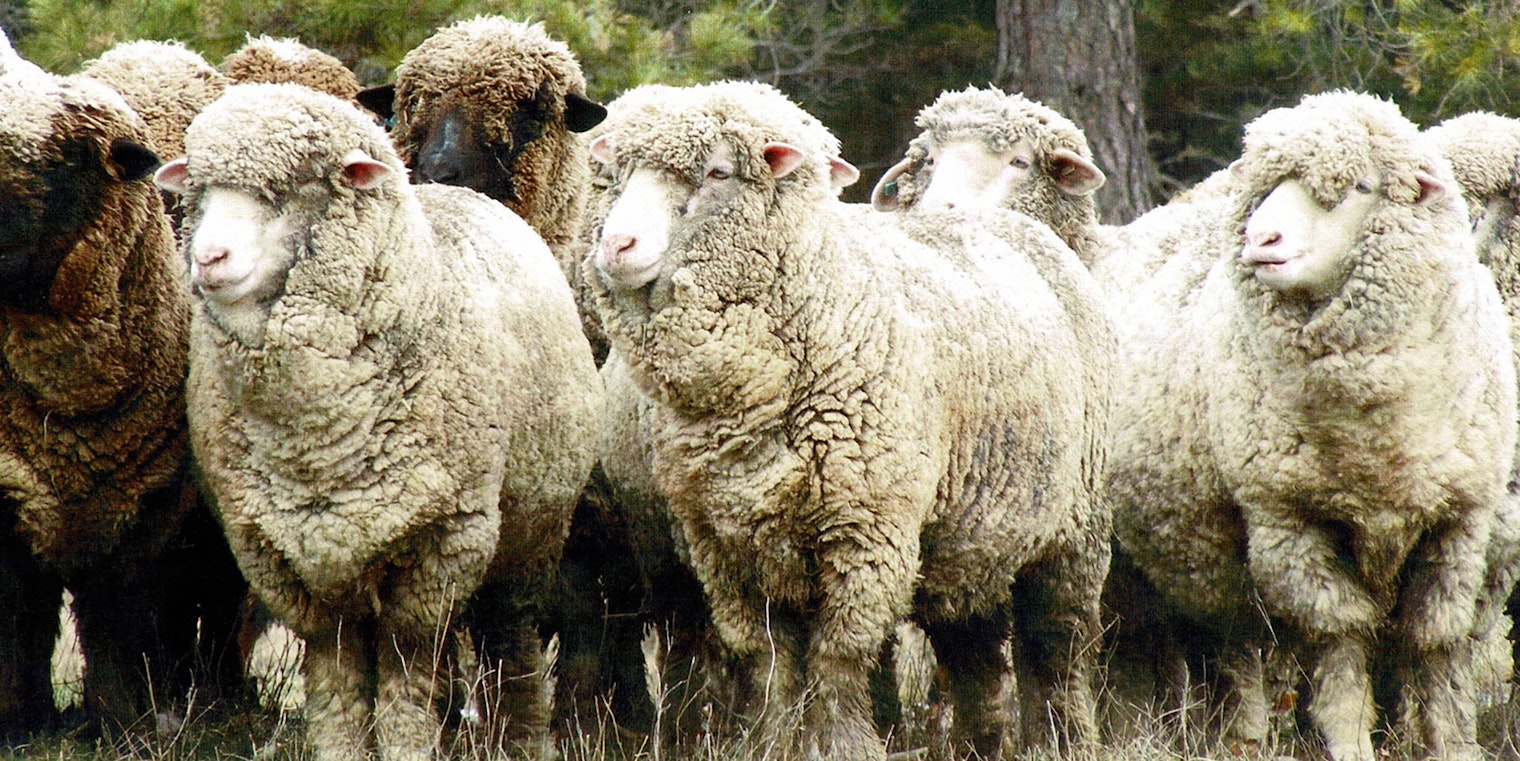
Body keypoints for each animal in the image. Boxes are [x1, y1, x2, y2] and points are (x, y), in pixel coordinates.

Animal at [0, 68, 245, 738]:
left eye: (65, 159)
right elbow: (19, 625)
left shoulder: (143, 513)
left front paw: (117, 722)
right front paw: (19, 723)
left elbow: (114, 625)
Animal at [153, 82, 602, 760]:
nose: (209, 258)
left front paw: (410, 745)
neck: (316, 439)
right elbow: (337, 678)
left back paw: (523, 737)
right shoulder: (281, 554)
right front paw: (342, 747)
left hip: (528, 536)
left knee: (510, 640)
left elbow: (404, 673)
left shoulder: (441, 544)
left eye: (289, 188)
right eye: (199, 192)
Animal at [584, 79, 1115, 760]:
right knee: (973, 651)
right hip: (970, 534)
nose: (615, 247)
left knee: (1059, 645)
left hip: (1076, 522)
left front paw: (845, 744)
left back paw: (1064, 738)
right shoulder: (726, 548)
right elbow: (769, 663)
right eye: (618, 173)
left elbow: (840, 657)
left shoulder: (867, 532)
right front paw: (773, 743)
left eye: (718, 172)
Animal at [1107, 91, 1516, 760]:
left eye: (1359, 186)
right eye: (1269, 187)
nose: (1261, 238)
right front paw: (1349, 745)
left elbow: (1436, 653)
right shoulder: (1291, 523)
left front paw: (1451, 745)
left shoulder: (1460, 523)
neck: (1373, 438)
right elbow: (1341, 654)